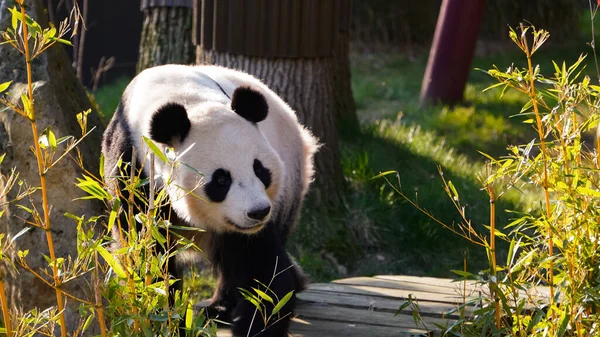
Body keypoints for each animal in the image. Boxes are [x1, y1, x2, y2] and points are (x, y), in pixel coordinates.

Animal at [102, 64, 318, 334]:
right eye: (221, 180)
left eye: (260, 170)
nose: (258, 212)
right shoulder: (131, 170)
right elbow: (146, 253)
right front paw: (164, 317)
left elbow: (260, 265)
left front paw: (256, 324)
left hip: (289, 183)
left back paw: (221, 307)